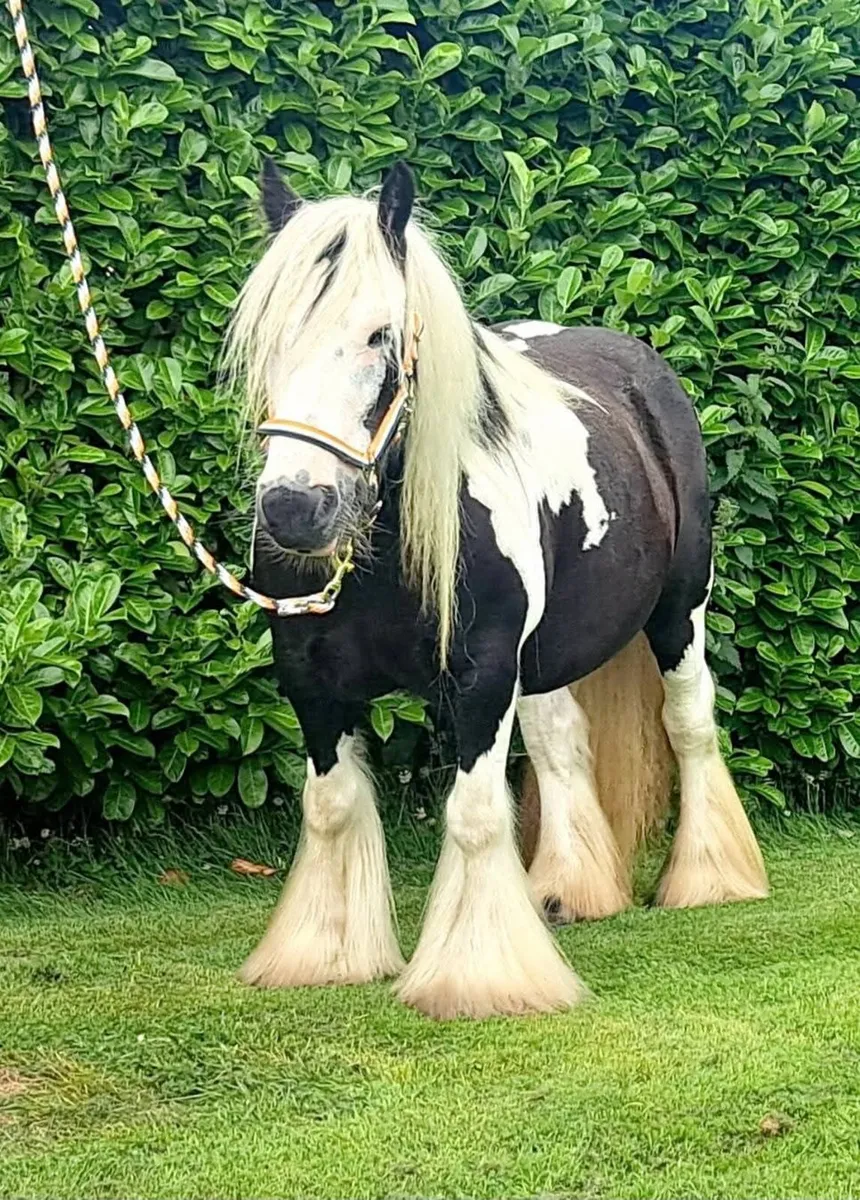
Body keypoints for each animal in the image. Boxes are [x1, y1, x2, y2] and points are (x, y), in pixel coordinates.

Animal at [224, 159, 769, 1020]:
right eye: (269, 335)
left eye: (380, 334)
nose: (295, 508)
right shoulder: (311, 684)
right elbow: (332, 806)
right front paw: (327, 955)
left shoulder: (480, 677)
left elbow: (477, 814)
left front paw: (479, 976)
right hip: (543, 660)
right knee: (561, 743)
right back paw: (570, 890)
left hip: (680, 612)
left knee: (690, 723)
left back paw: (711, 879)